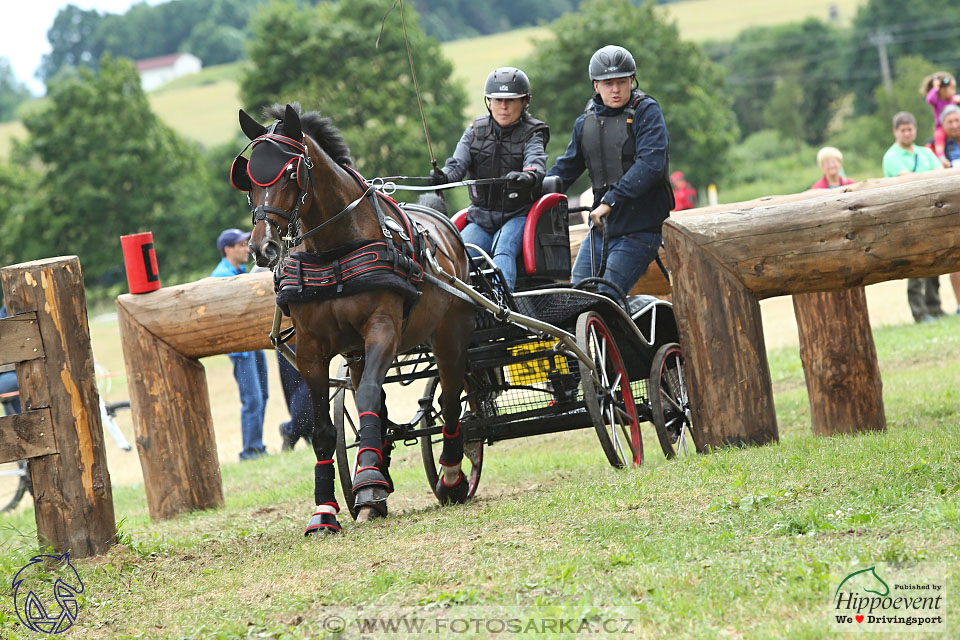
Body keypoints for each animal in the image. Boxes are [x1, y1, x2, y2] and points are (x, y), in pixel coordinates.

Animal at [232, 105, 472, 532]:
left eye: (291, 172)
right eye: (249, 179)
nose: (263, 248)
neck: (335, 250)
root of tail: (444, 226)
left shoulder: (382, 331)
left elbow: (368, 398)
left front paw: (371, 485)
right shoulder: (312, 349)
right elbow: (325, 428)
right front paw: (326, 510)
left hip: (449, 335)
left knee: (448, 399)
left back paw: (450, 477)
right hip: (358, 354)